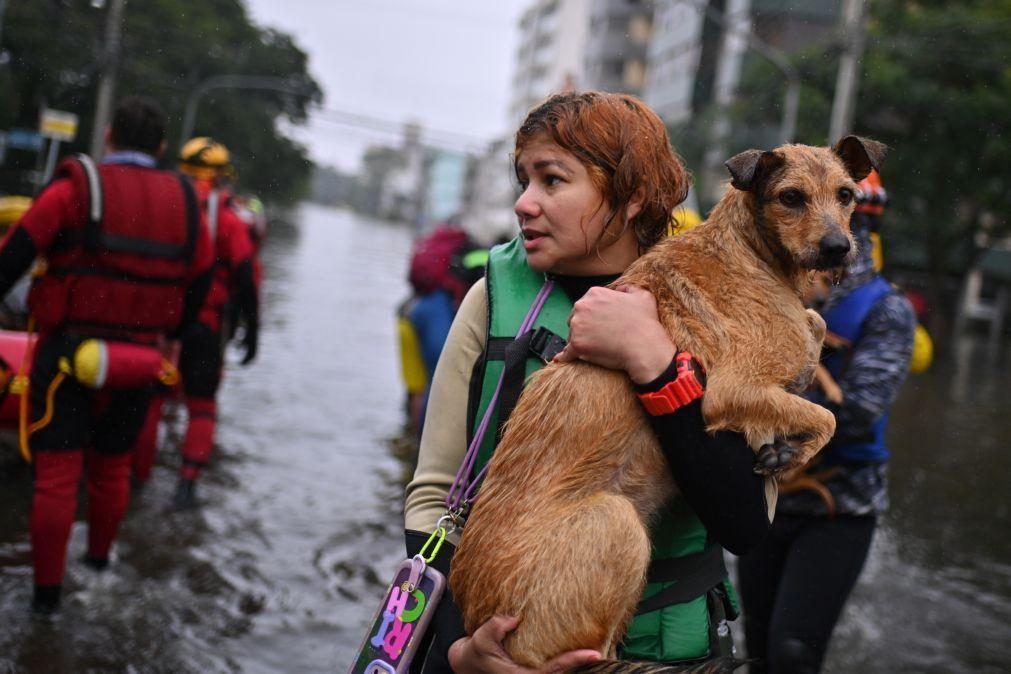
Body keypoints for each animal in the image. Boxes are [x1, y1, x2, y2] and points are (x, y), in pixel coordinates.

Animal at [450, 135, 885, 662]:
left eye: (846, 195)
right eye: (791, 197)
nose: (838, 248)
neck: (751, 252)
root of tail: (476, 615)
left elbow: (814, 328)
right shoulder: (732, 390)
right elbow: (827, 417)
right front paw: (792, 450)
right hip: (614, 523)